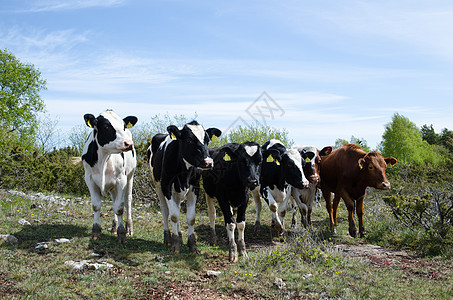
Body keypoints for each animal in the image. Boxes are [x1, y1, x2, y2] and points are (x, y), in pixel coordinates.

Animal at [81, 110, 138, 244]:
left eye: (124, 126)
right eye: (106, 126)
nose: (129, 144)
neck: (104, 158)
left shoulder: (121, 180)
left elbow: (120, 208)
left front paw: (122, 234)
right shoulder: (89, 179)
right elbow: (96, 205)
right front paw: (96, 232)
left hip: (130, 176)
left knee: (127, 201)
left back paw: (129, 228)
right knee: (114, 201)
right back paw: (114, 226)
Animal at [147, 119, 220, 253]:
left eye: (207, 140)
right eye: (189, 140)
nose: (208, 162)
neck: (184, 174)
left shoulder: (194, 188)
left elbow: (190, 218)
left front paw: (192, 245)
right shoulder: (167, 187)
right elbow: (174, 216)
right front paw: (175, 245)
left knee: (178, 207)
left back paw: (180, 238)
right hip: (158, 185)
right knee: (165, 211)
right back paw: (168, 239)